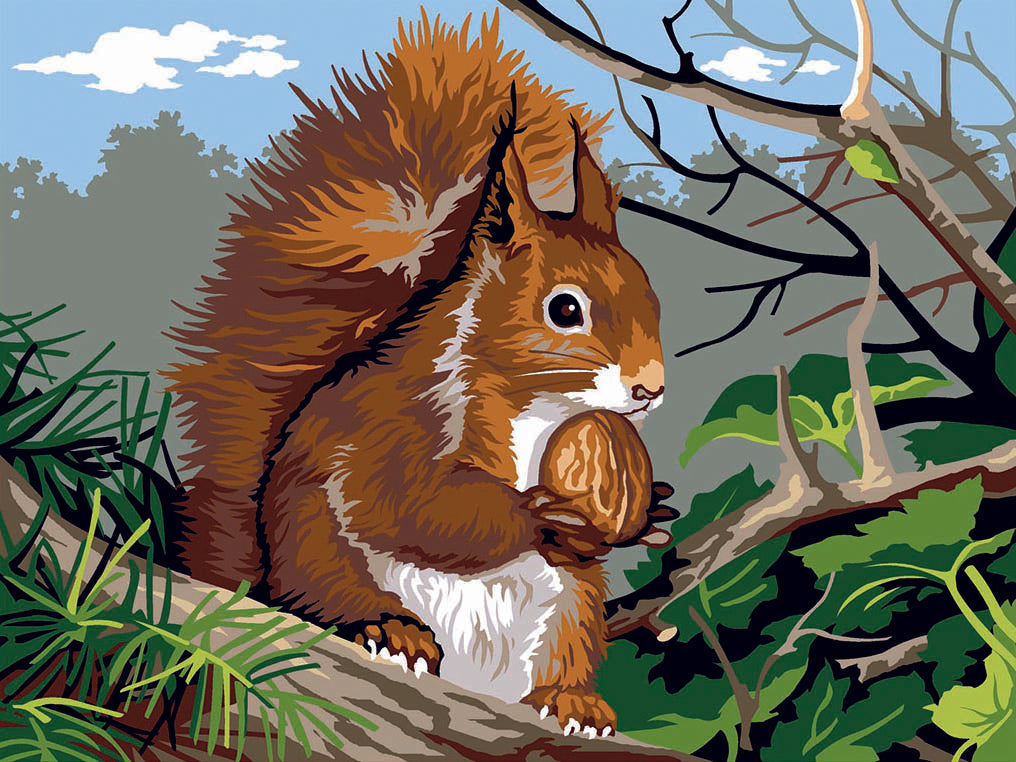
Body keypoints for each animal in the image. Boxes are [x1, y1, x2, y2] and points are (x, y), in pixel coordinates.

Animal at [164, 12, 670, 736]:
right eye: (565, 309)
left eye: (652, 295)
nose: (650, 387)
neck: (539, 410)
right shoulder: (394, 421)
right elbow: (410, 504)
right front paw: (537, 513)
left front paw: (652, 513)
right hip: (320, 554)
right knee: (333, 594)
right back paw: (389, 629)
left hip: (571, 609)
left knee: (565, 651)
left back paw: (572, 701)